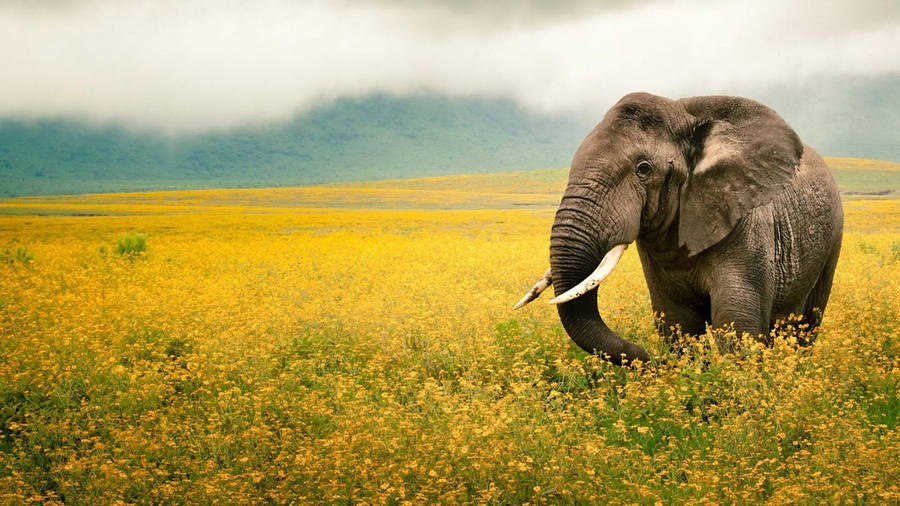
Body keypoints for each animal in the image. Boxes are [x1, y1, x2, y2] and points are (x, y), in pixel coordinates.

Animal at [514, 92, 843, 366]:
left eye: (643, 169)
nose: (647, 357)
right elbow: (678, 321)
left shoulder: (747, 222)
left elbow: (736, 322)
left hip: (832, 241)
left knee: (806, 324)